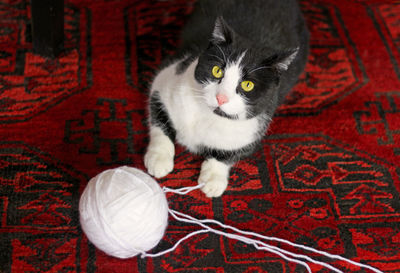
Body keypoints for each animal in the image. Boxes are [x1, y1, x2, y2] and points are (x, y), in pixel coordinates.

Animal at [145, 0, 310, 197]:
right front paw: (158, 159)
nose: (221, 97)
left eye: (248, 85)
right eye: (217, 70)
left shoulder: (254, 129)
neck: (209, 116)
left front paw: (213, 179)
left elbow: (229, 154)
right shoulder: (166, 78)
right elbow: (160, 122)